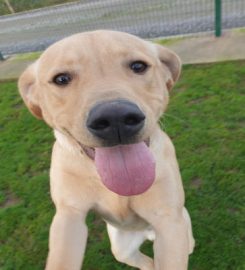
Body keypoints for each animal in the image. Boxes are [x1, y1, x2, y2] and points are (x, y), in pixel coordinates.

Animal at [18, 30, 194, 270]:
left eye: (138, 66)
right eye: (61, 79)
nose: (115, 118)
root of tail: (147, 234)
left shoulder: (169, 220)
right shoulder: (69, 215)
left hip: (181, 222)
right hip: (122, 248)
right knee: (146, 262)